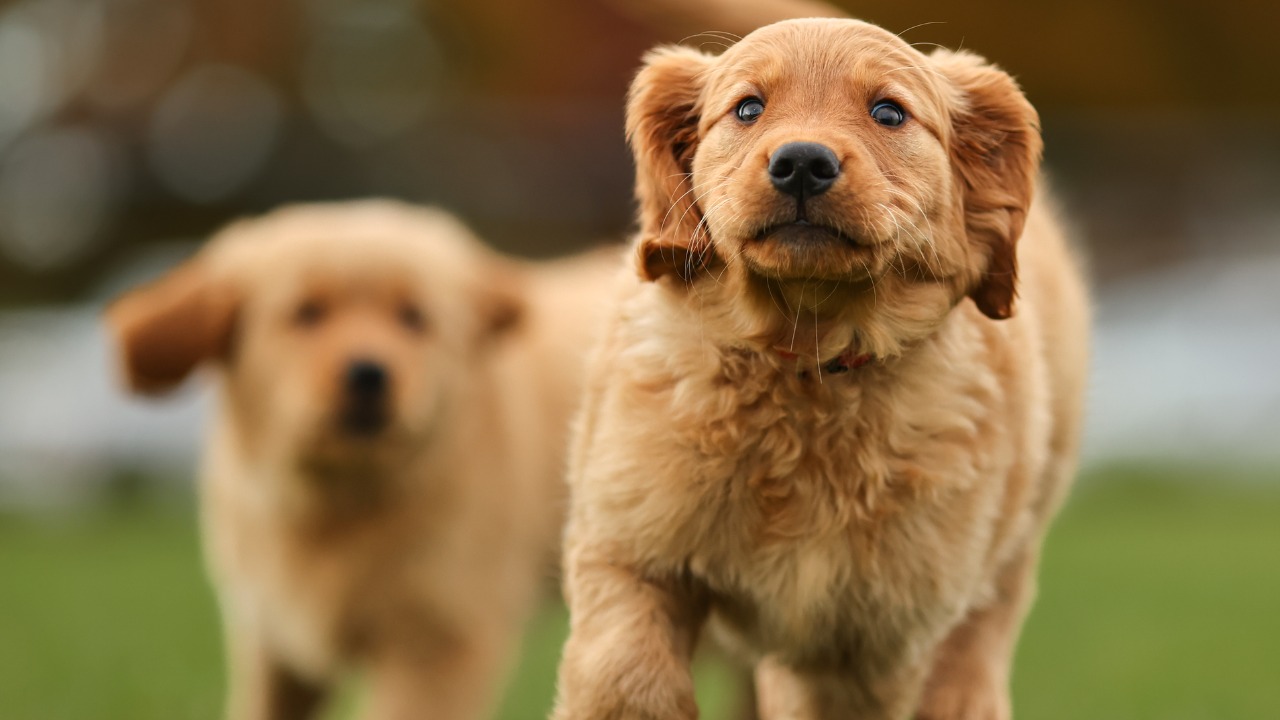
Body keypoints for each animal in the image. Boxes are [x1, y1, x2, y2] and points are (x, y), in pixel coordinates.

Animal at [104, 199, 614, 717]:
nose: (369, 374)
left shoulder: (435, 643)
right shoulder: (273, 639)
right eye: (307, 312)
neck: (341, 497)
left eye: (413, 317)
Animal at [552, 16, 1090, 717]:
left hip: (998, 568)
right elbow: (627, 678)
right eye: (748, 108)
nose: (802, 162)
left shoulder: (861, 642)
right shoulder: (631, 544)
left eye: (888, 112)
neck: (807, 365)